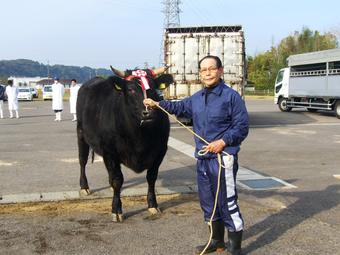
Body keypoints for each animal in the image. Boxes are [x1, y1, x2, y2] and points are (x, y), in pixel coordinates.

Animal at [77, 67, 173, 221]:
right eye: (130, 89)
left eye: (153, 88)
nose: (148, 112)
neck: (140, 137)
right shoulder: (109, 152)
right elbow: (117, 180)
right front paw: (116, 210)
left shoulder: (160, 151)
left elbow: (151, 178)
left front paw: (153, 205)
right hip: (81, 134)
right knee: (82, 160)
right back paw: (84, 187)